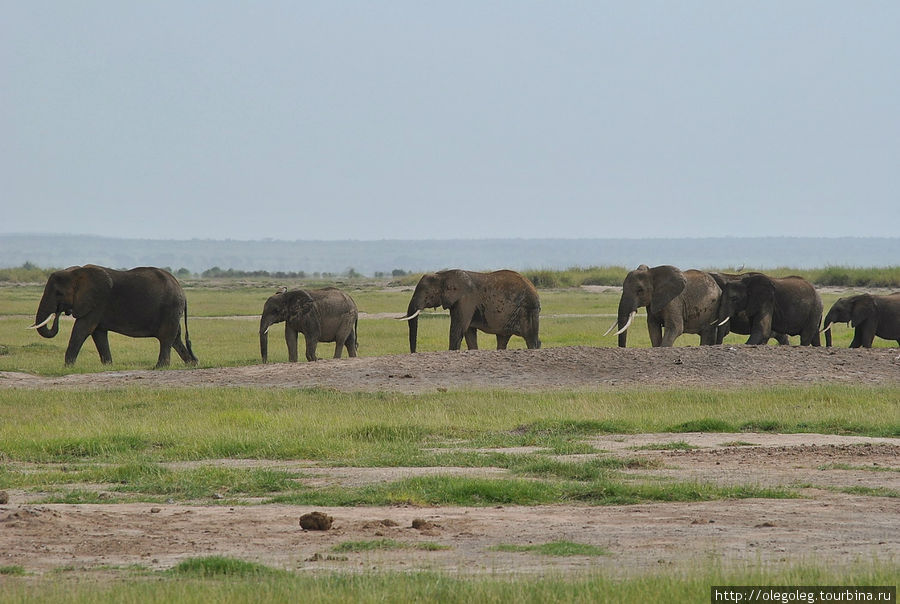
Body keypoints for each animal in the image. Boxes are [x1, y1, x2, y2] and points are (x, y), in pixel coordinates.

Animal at [29, 266, 198, 368]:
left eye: (59, 293)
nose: (60, 311)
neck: (76, 273)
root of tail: (182, 291)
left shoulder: (97, 302)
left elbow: (82, 329)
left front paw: (67, 368)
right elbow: (98, 334)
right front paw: (108, 366)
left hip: (170, 309)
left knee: (166, 338)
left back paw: (160, 367)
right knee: (175, 338)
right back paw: (192, 363)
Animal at [396, 268, 536, 350]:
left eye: (426, 293)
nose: (413, 353)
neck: (443, 275)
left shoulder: (466, 300)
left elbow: (458, 329)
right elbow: (469, 332)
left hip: (528, 309)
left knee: (531, 338)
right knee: (503, 338)